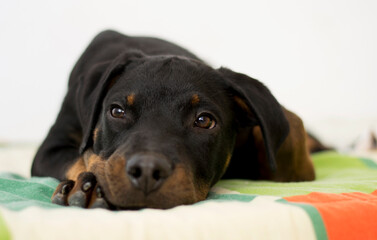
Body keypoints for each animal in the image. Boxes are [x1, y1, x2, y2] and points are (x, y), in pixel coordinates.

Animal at [31, 30, 314, 210]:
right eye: (117, 111)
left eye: (204, 120)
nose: (147, 171)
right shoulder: (51, 148)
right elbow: (80, 157)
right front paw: (89, 188)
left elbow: (292, 126)